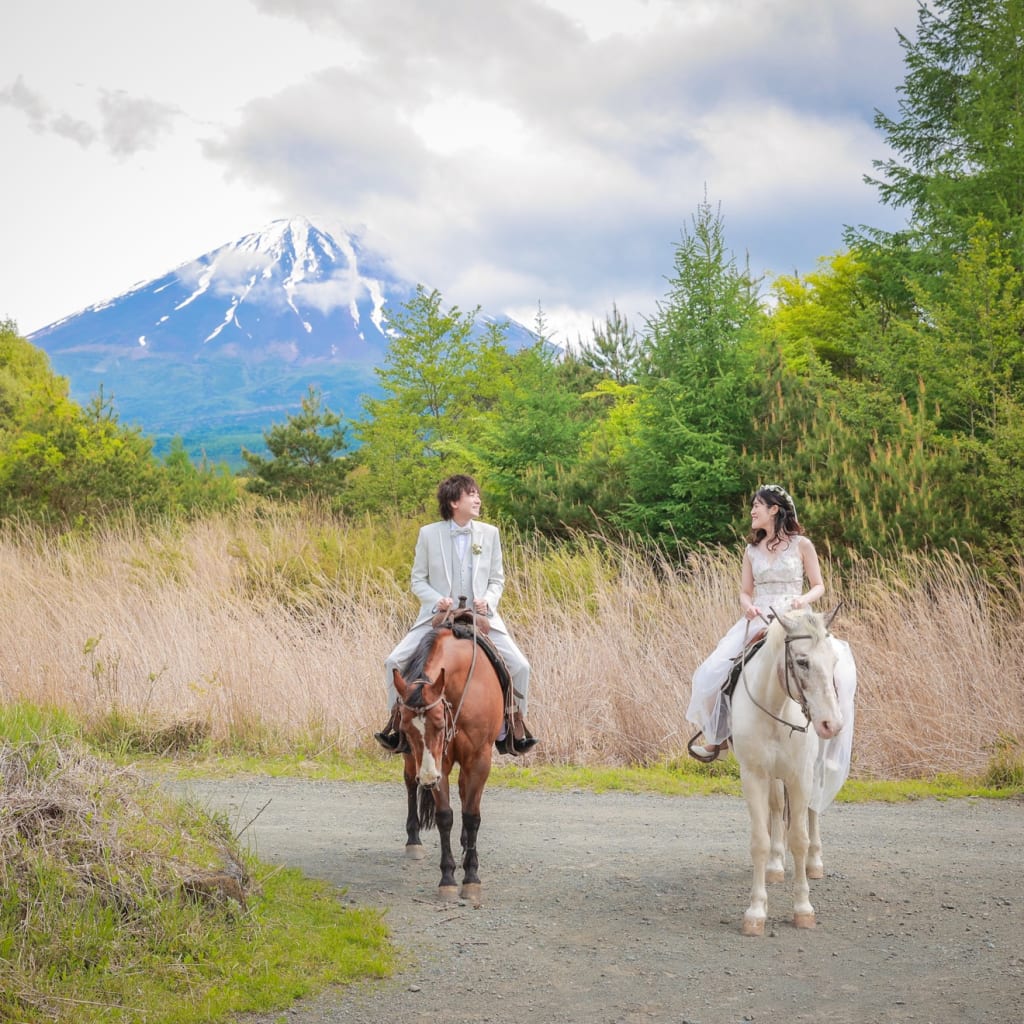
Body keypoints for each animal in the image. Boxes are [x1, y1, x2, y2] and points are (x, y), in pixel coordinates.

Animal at [391, 626, 503, 901]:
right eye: (406, 729)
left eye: (440, 725)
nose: (428, 779)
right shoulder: (438, 763)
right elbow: (444, 816)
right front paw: (448, 879)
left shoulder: (479, 760)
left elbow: (472, 816)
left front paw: (471, 877)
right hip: (414, 762)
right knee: (410, 783)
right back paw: (414, 841)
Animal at [733, 606, 843, 937]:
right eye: (803, 661)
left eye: (833, 661)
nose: (832, 724)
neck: (776, 709)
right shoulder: (754, 776)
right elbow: (760, 840)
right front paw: (756, 912)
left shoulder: (800, 777)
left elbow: (800, 839)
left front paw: (803, 909)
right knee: (777, 808)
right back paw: (775, 866)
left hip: (815, 770)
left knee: (813, 811)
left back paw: (815, 863)